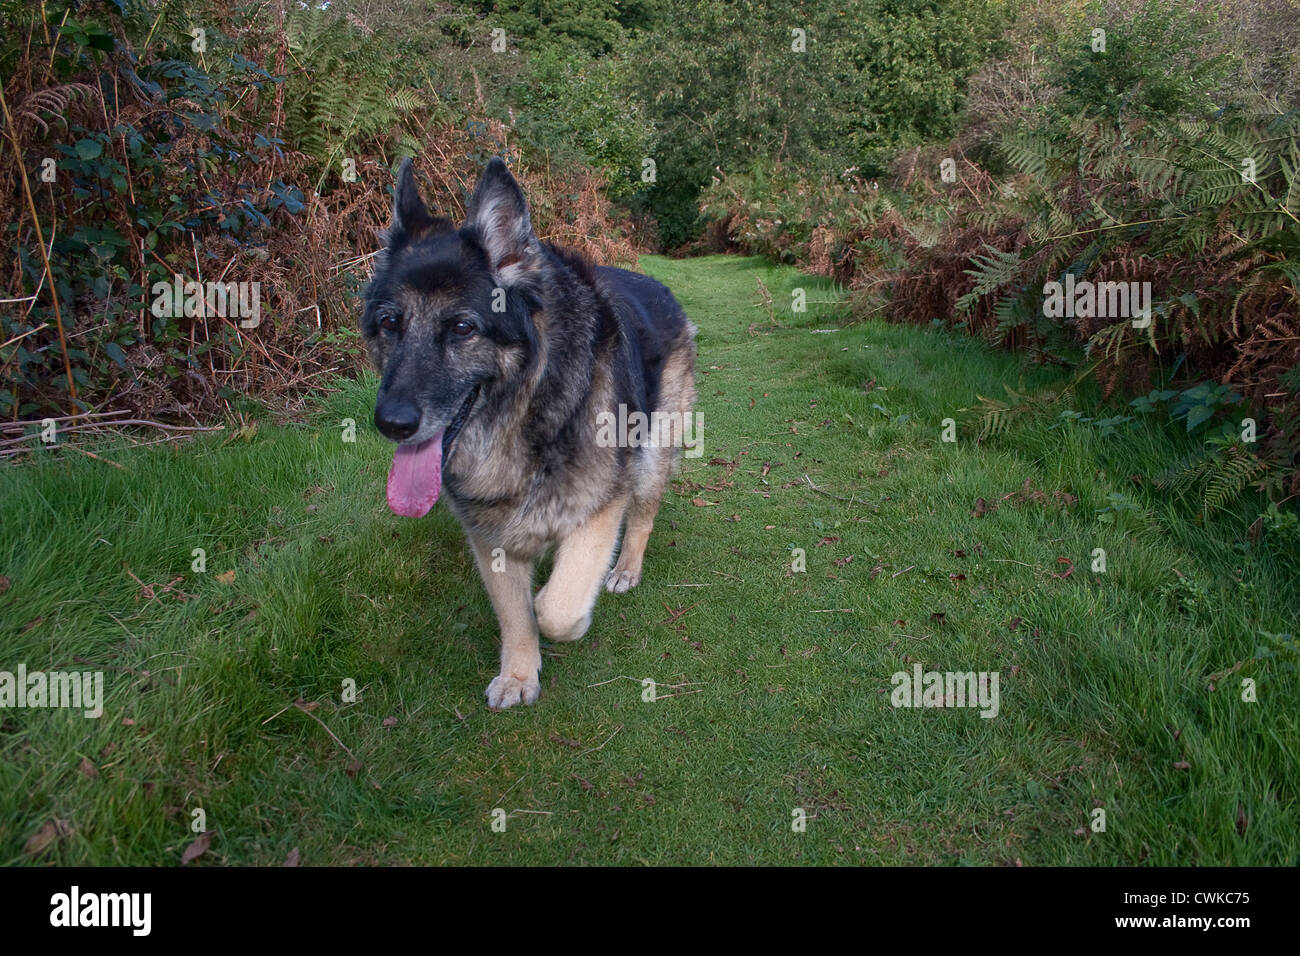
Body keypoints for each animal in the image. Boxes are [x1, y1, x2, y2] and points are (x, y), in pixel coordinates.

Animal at [361, 158, 696, 712]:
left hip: (651, 455)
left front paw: (572, 618)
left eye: (462, 328)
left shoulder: (599, 508)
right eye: (391, 323)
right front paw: (519, 673)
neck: (526, 413)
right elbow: (515, 613)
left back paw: (626, 568)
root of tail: (657, 284)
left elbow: (554, 608)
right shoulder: (489, 535)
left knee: (643, 516)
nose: (392, 423)